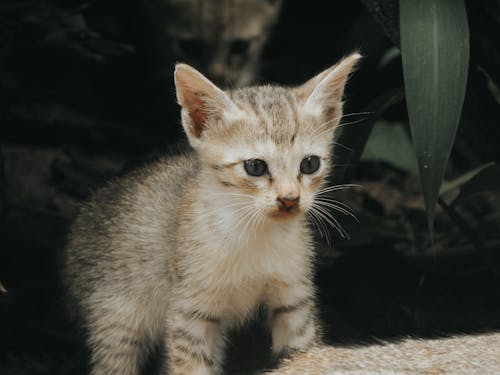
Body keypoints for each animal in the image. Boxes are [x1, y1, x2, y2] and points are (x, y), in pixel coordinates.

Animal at [62, 51, 362, 374]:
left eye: (310, 164)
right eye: (255, 166)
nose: (289, 199)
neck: (254, 233)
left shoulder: (294, 300)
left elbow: (302, 354)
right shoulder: (190, 312)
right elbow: (191, 365)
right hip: (116, 321)